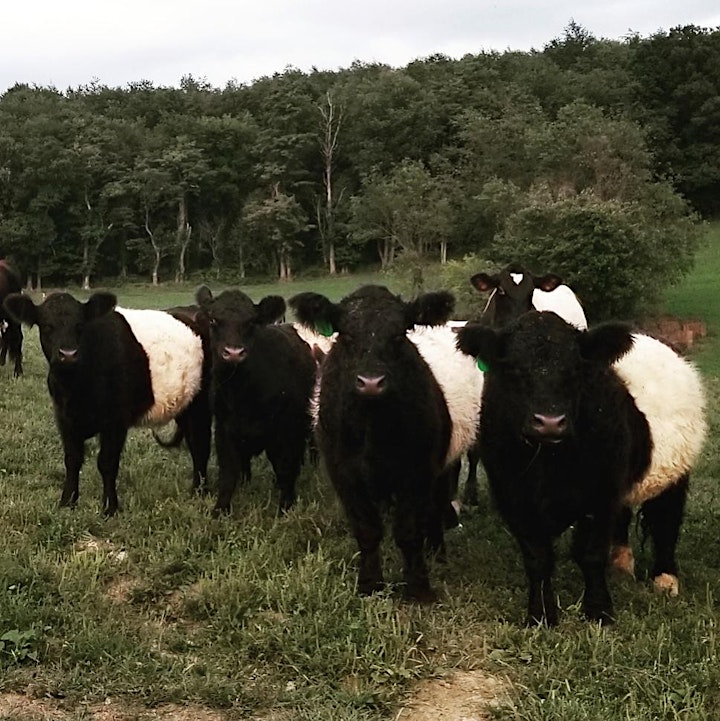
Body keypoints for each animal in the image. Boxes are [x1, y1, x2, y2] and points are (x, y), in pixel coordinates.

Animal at [2, 290, 210, 516]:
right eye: (47, 325)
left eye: (80, 325)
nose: (68, 354)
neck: (75, 388)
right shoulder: (64, 418)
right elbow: (72, 459)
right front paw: (67, 502)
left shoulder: (115, 420)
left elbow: (107, 462)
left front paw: (110, 507)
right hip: (186, 406)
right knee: (193, 442)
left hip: (202, 403)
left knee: (200, 445)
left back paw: (200, 491)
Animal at [194, 284, 316, 516]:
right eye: (213, 319)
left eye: (251, 322)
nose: (233, 352)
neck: (242, 392)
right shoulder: (224, 429)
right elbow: (228, 473)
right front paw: (220, 509)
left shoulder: (285, 430)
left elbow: (285, 467)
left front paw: (285, 507)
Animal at [290, 286, 480, 600]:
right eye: (346, 335)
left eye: (400, 334)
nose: (371, 382)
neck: (373, 426)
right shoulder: (344, 475)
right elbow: (367, 530)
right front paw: (369, 584)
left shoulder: (417, 472)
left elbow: (409, 530)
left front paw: (418, 587)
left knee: (437, 504)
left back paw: (437, 551)